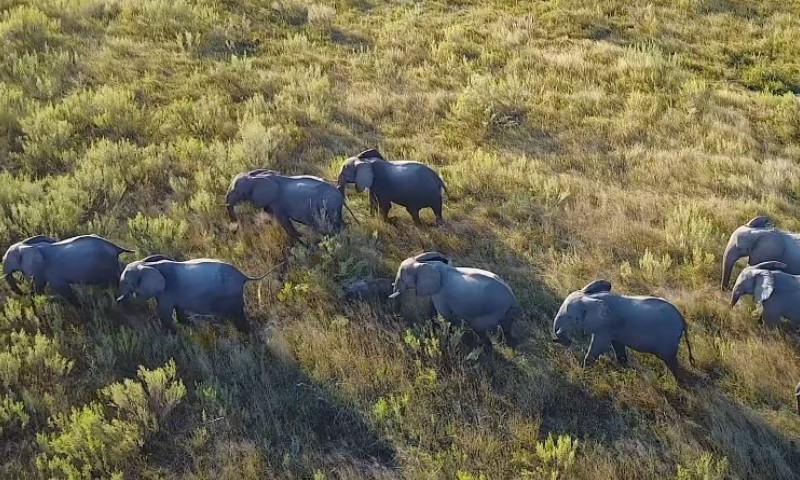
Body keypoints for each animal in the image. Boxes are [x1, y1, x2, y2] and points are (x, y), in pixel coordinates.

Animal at [2, 234, 134, 304]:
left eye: (7, 261)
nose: (23, 293)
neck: (30, 246)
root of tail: (116, 247)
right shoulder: (40, 271)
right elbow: (38, 287)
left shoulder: (50, 271)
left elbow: (62, 289)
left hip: (109, 265)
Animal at [116, 257, 275, 334]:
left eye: (126, 282)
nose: (117, 300)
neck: (147, 265)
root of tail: (243, 276)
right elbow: (178, 310)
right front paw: (187, 325)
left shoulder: (167, 291)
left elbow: (164, 312)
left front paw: (172, 334)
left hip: (231, 295)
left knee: (237, 316)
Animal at [226, 170, 357, 245]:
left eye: (237, 191)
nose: (234, 229)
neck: (257, 177)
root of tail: (340, 196)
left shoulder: (277, 203)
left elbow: (284, 222)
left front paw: (301, 244)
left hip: (330, 206)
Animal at [388, 253, 517, 345]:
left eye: (402, 278)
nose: (397, 318)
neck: (431, 264)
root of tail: (512, 298)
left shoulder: (442, 293)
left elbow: (444, 315)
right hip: (504, 310)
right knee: (506, 326)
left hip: (494, 309)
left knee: (479, 327)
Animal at [551, 280, 695, 376]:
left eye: (571, 318)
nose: (555, 340)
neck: (590, 296)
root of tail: (682, 321)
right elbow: (617, 346)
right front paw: (625, 369)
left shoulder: (605, 326)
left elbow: (598, 346)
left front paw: (583, 372)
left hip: (667, 340)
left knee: (670, 360)